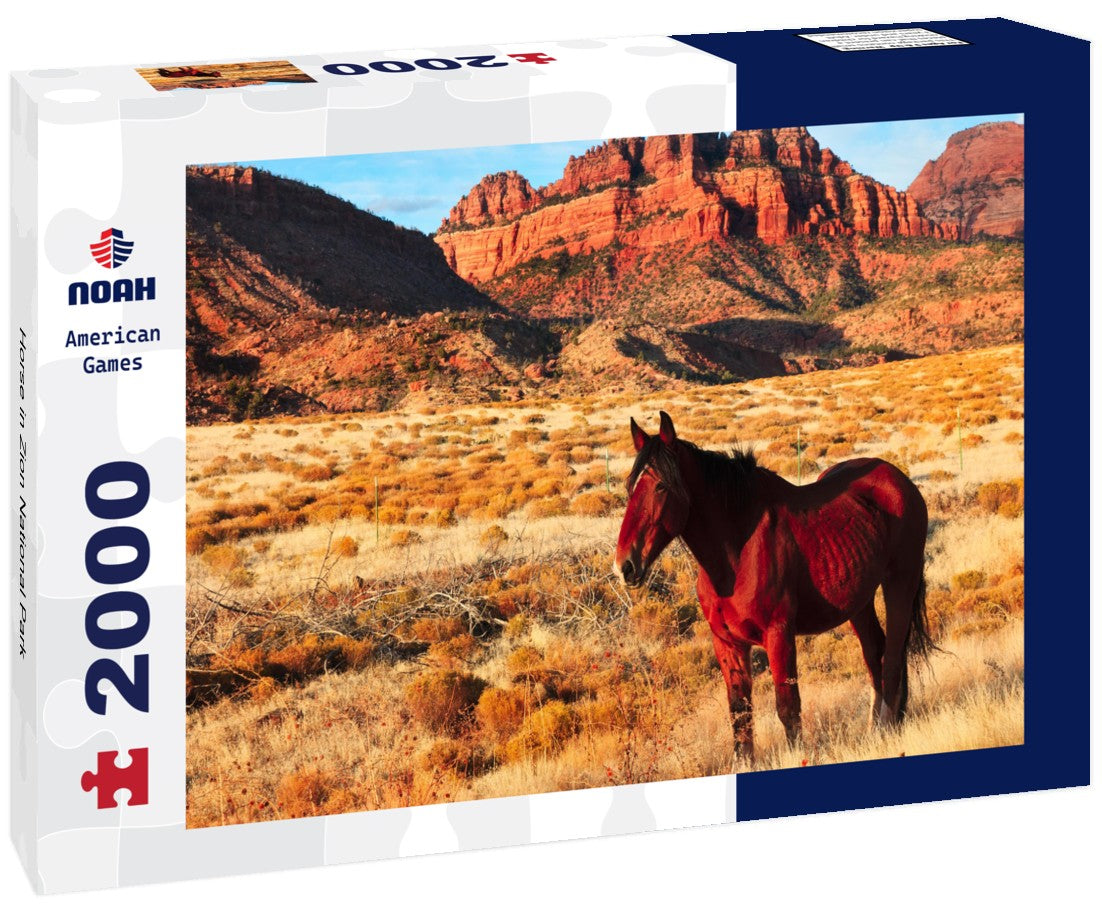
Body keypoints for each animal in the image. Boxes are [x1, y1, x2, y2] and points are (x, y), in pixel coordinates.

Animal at [614, 411, 934, 763]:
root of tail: (898, 479)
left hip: (900, 583)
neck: (736, 555)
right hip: (859, 601)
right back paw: (877, 728)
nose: (625, 566)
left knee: (891, 659)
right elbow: (740, 714)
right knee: (875, 653)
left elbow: (787, 708)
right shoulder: (727, 643)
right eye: (630, 486)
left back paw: (888, 729)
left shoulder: (778, 634)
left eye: (660, 486)